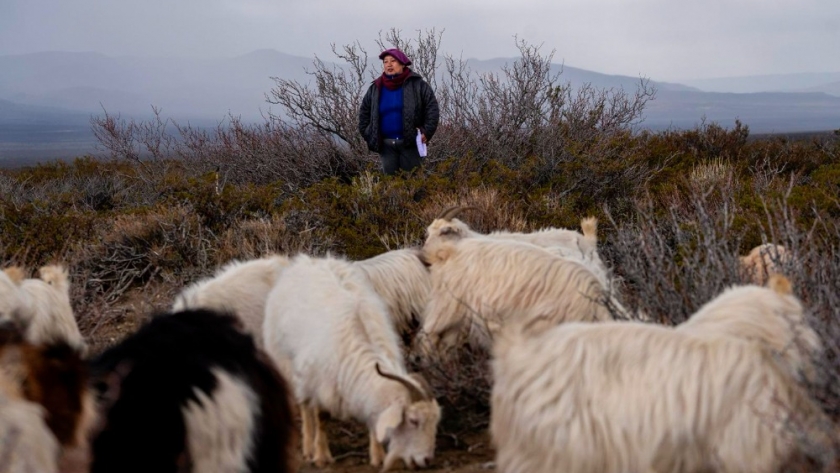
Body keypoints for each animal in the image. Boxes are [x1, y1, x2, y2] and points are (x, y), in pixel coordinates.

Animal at [266, 256, 442, 470]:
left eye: (435, 421)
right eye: (413, 420)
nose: (426, 460)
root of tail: (306, 261)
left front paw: (378, 456)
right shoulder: (320, 380)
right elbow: (321, 416)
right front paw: (321, 456)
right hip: (289, 365)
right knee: (304, 405)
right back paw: (307, 447)